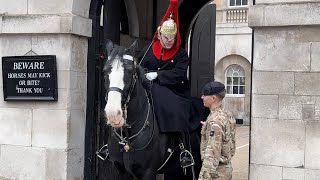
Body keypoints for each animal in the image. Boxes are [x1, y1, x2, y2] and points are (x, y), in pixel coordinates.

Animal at [101, 40, 201, 180]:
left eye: (130, 71)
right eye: (105, 71)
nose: (113, 114)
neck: (128, 136)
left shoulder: (148, 171)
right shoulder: (120, 171)